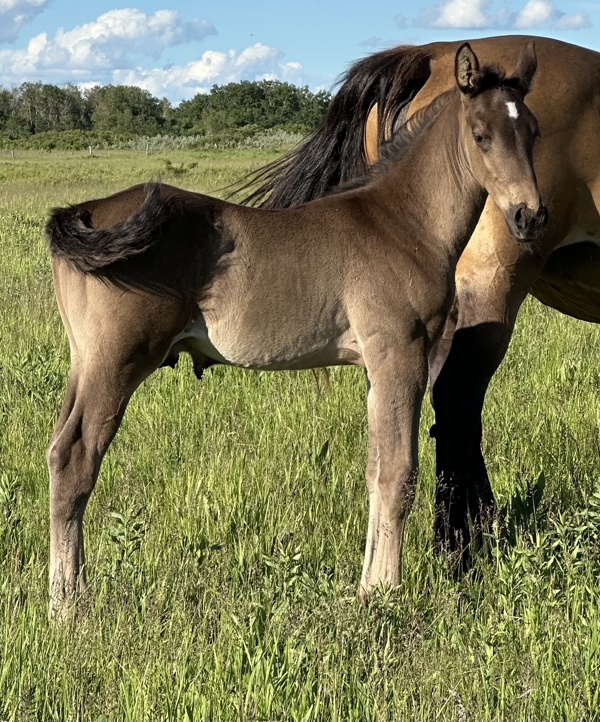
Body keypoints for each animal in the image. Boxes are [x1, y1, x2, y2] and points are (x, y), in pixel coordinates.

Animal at [45, 43, 546, 620]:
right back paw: (67, 607)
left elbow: (375, 469)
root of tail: (84, 211)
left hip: (85, 362)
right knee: (76, 458)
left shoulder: (376, 367)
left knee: (57, 451)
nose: (530, 216)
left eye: (533, 132)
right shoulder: (400, 354)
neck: (403, 223)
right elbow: (399, 474)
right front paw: (387, 594)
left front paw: (367, 586)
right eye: (481, 135)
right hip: (117, 360)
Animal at [239, 35, 600, 560]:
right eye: (480, 136)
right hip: (492, 287)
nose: (530, 216)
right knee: (457, 402)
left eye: (533, 134)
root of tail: (431, 51)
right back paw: (461, 553)